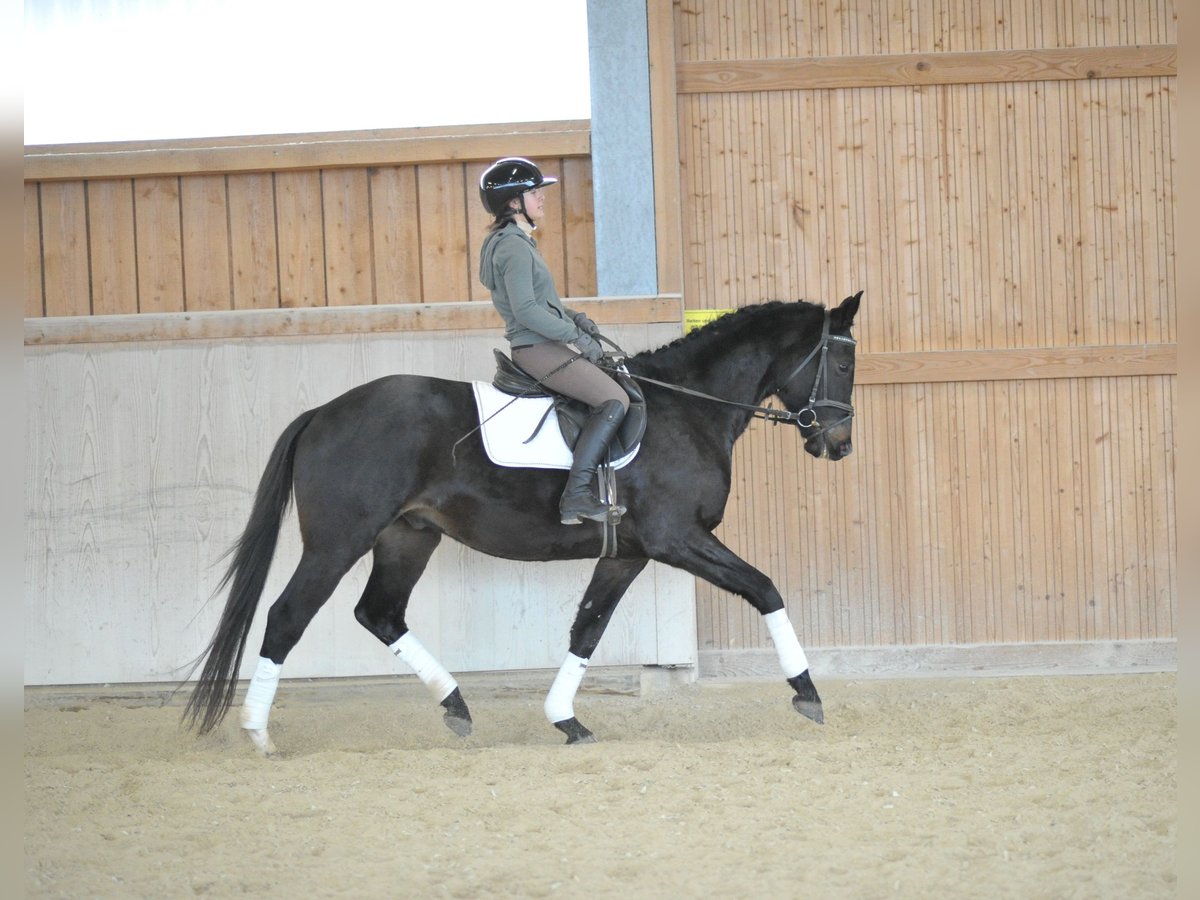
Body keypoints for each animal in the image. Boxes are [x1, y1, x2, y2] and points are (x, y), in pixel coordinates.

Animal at [182, 290, 864, 753]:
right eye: (844, 365)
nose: (839, 444)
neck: (686, 409)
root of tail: (323, 411)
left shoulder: (628, 552)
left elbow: (587, 629)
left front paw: (566, 719)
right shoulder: (678, 539)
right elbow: (764, 587)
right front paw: (807, 693)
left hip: (408, 537)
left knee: (380, 614)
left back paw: (456, 707)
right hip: (337, 541)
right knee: (288, 616)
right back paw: (259, 733)